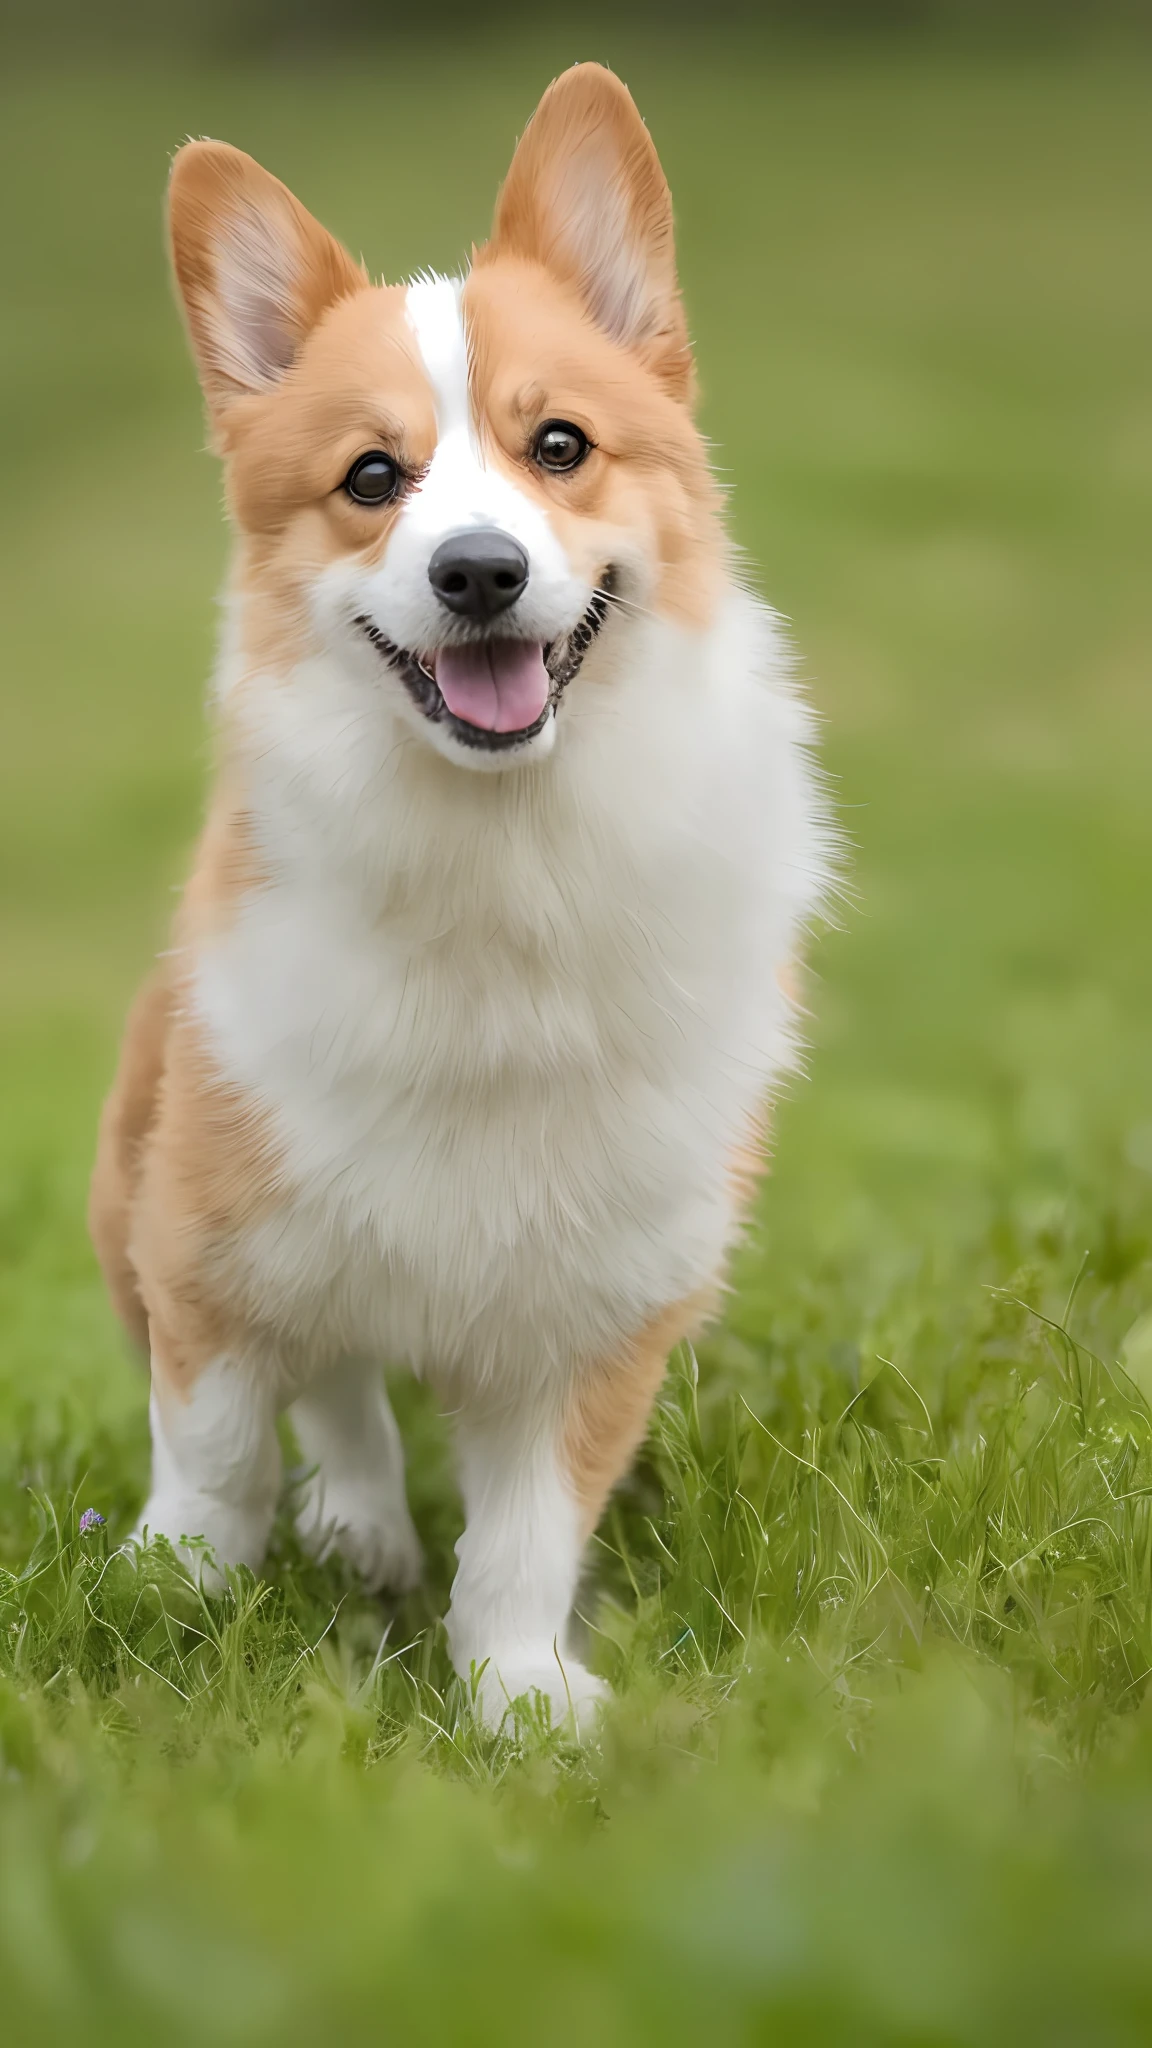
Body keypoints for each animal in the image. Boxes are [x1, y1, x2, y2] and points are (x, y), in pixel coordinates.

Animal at [87, 59, 824, 1728]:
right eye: (373, 477)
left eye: (559, 446)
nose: (479, 573)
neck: (504, 854)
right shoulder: (207, 1240)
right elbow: (219, 1447)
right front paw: (174, 1597)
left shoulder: (599, 1304)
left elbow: (532, 1531)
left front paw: (520, 1700)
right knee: (341, 1385)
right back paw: (355, 1531)